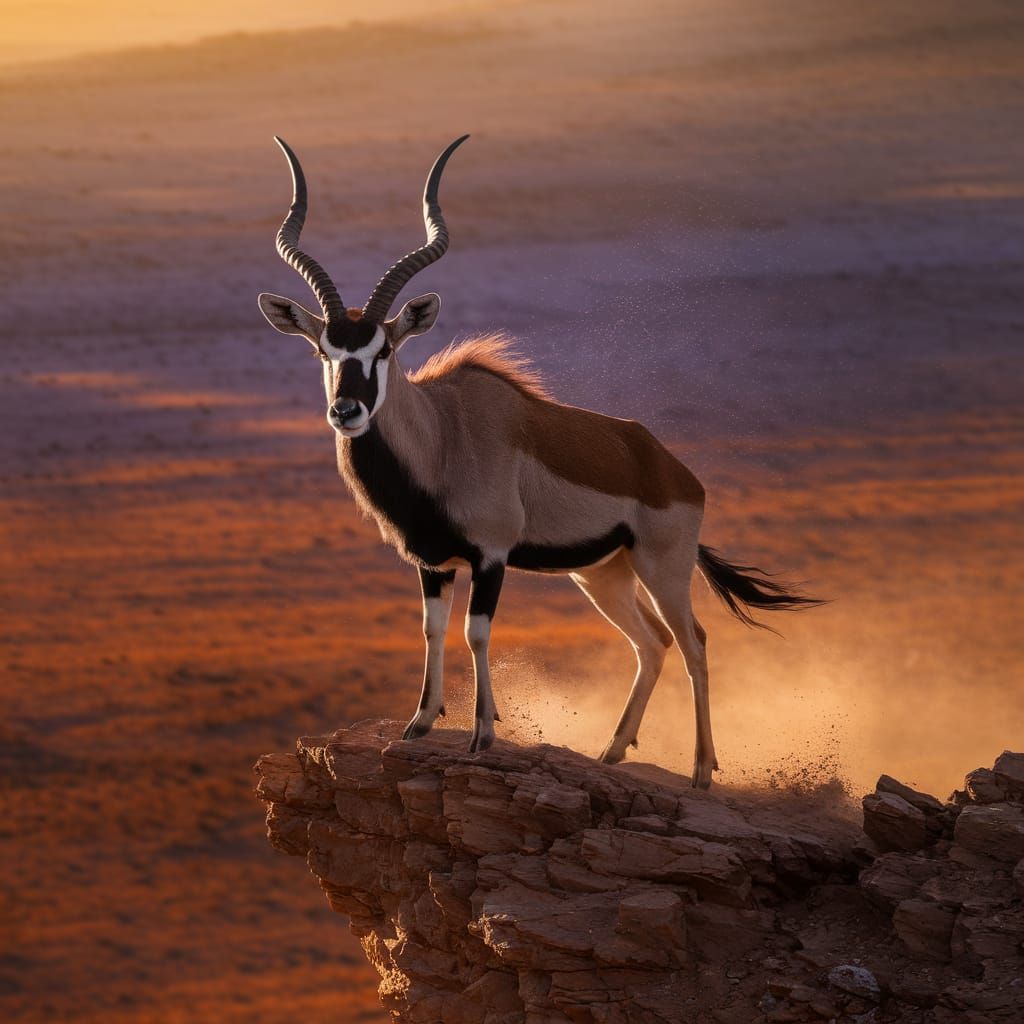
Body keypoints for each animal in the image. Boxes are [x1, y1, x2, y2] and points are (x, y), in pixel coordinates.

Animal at [257, 135, 819, 788]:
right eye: (324, 350)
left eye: (385, 349)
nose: (345, 411)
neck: (444, 434)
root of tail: (669, 468)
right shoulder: (433, 563)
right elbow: (432, 629)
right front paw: (420, 723)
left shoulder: (492, 557)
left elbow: (476, 632)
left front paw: (482, 734)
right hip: (603, 576)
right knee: (652, 643)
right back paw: (612, 750)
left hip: (661, 570)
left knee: (694, 642)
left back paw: (703, 769)